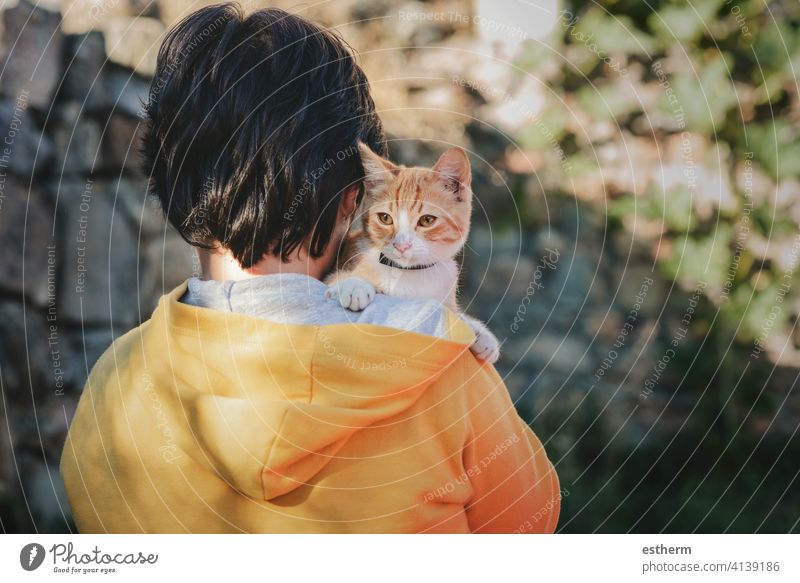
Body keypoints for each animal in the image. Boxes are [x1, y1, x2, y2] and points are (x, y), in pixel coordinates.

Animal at [324, 144, 500, 362]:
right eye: (385, 218)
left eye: (427, 220)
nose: (402, 245)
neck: (410, 274)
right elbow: (337, 279)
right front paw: (353, 285)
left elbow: (454, 312)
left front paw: (480, 333)